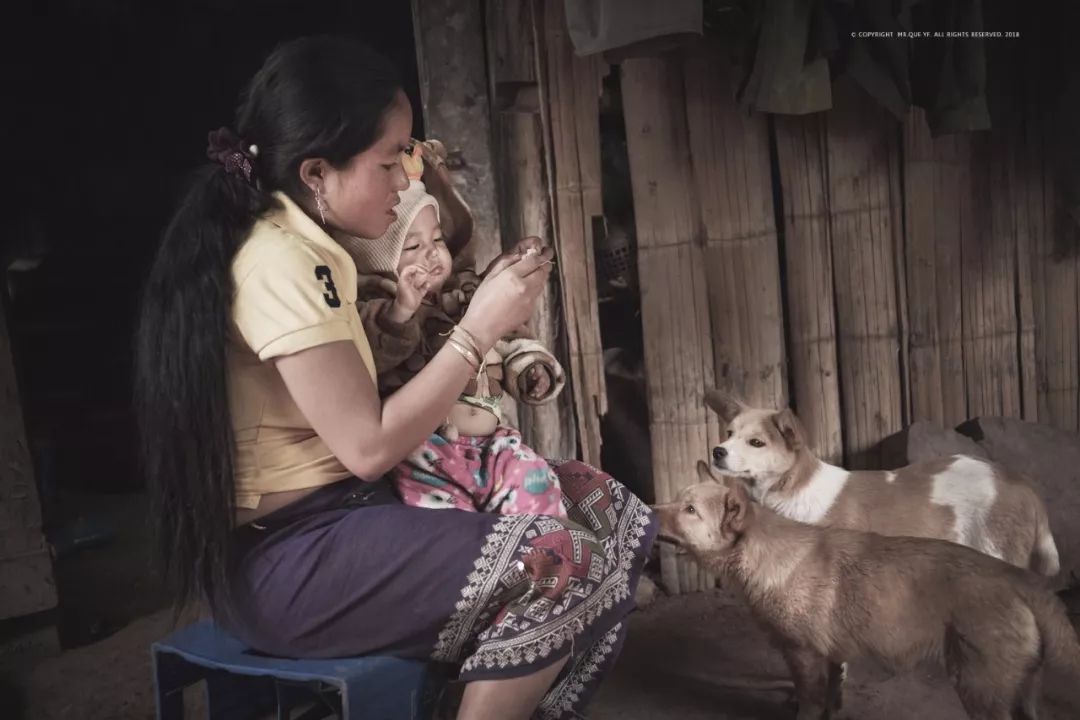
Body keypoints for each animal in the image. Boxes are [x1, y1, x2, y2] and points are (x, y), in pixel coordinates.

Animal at [648, 462, 1080, 720]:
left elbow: (808, 704)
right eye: (678, 500)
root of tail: (1021, 580)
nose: (648, 509)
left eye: (689, 510)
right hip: (1018, 690)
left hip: (978, 687)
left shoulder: (803, 656)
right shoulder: (829, 656)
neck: (763, 550)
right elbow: (832, 697)